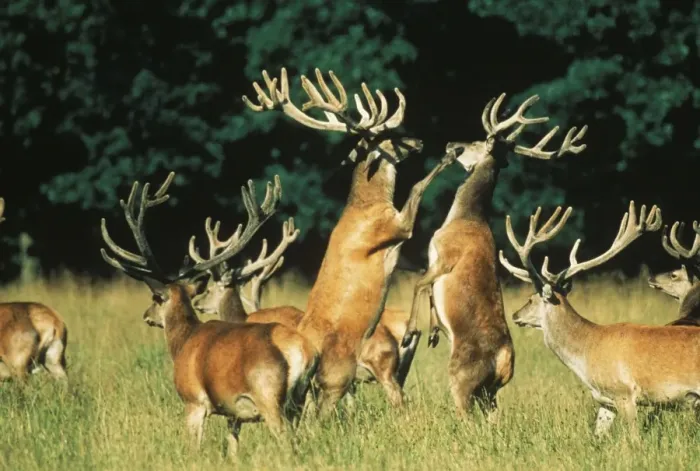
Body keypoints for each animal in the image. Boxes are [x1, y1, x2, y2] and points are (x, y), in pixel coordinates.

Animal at [99, 172, 318, 457]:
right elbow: (232, 448)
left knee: (287, 442)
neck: (182, 343)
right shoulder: (232, 412)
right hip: (299, 402)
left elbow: (194, 446)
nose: (146, 315)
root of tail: (304, 351)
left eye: (155, 298)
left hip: (269, 396)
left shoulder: (193, 400)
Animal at [243, 67, 455, 413]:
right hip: (338, 375)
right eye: (389, 136)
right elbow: (417, 187)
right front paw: (448, 157)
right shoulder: (393, 227)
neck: (368, 205)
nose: (419, 141)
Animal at [400, 93, 588, 416]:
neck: (464, 217)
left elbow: (419, 284)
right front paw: (434, 332)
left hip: (462, 379)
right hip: (489, 394)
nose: (451, 143)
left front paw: (410, 333)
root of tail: (504, 362)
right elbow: (428, 292)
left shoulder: (444, 255)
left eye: (478, 140)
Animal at [497, 201, 700, 437]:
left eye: (530, 299)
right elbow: (598, 436)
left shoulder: (624, 392)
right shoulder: (605, 400)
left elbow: (634, 438)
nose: (515, 315)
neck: (586, 353)